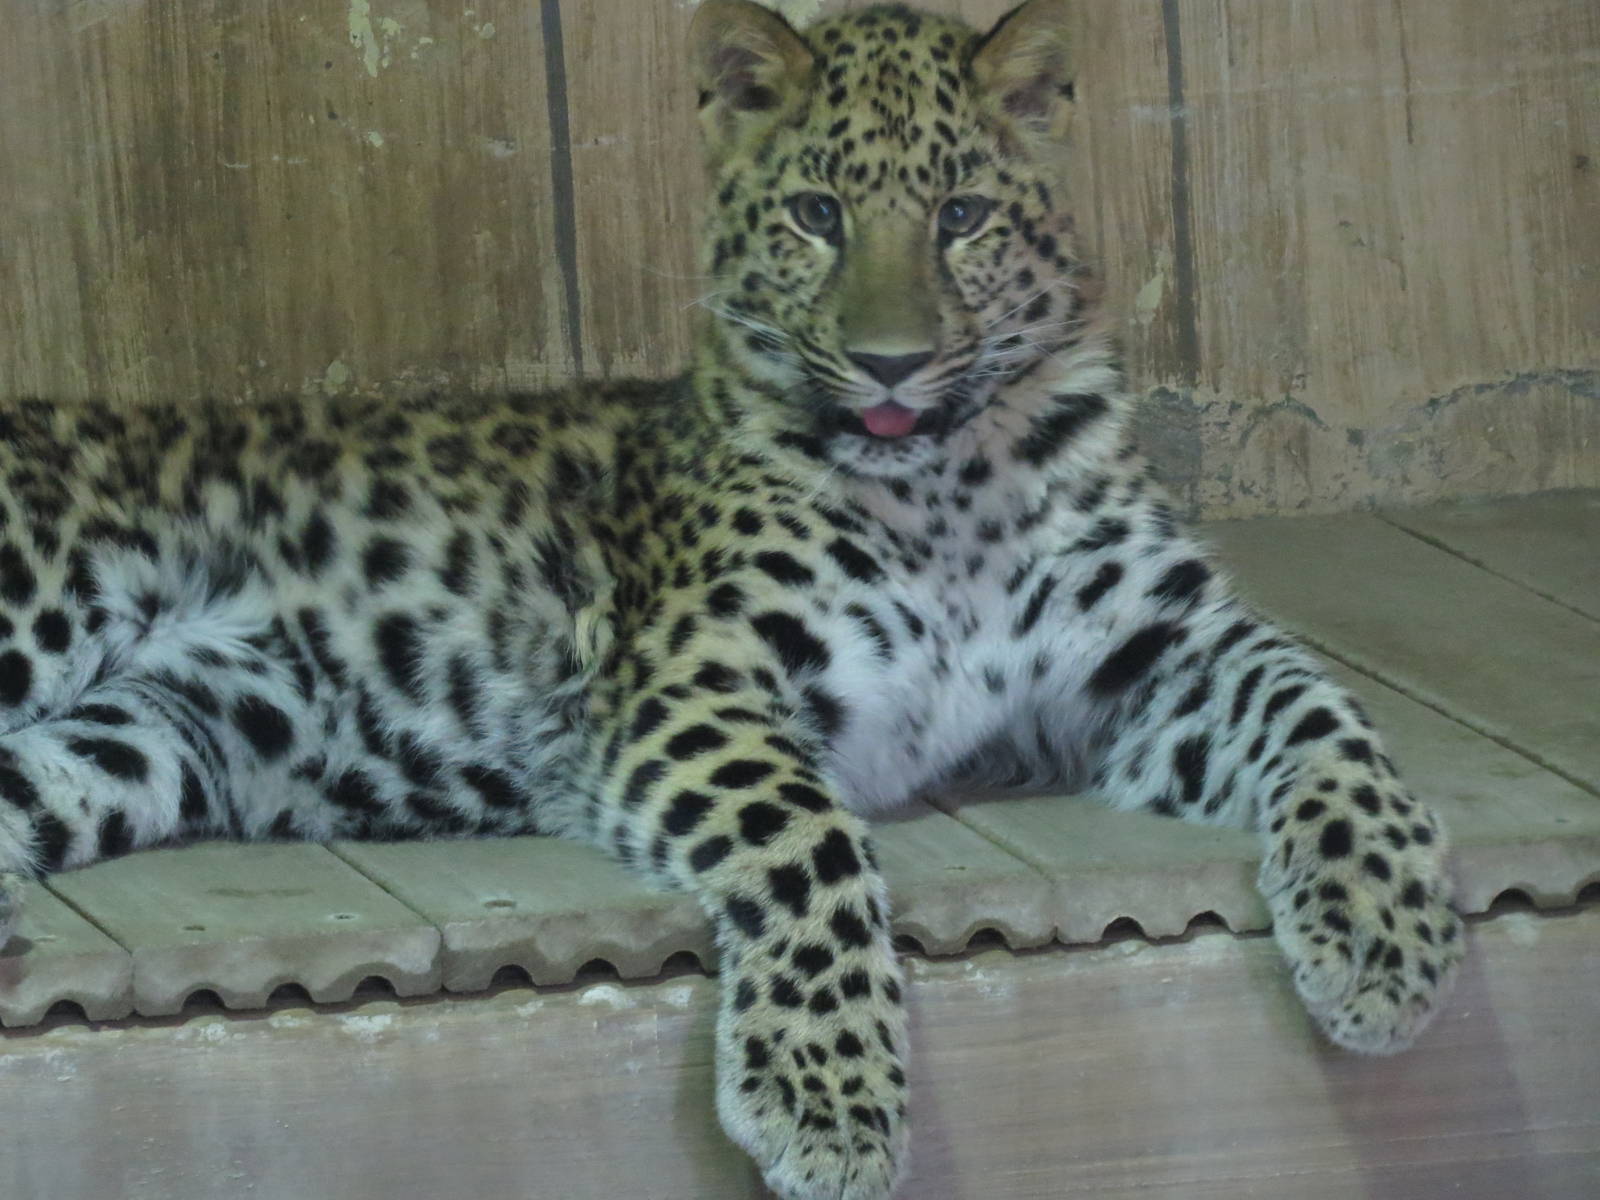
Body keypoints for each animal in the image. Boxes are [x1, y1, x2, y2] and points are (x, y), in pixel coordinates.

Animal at [0, 2, 1462, 1197]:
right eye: (816, 214)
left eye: (960, 216)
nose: (891, 362)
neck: (945, 483)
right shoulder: (692, 679)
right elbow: (810, 841)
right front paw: (829, 1099)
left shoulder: (1160, 652)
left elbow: (1330, 718)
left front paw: (1383, 935)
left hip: (138, 746)